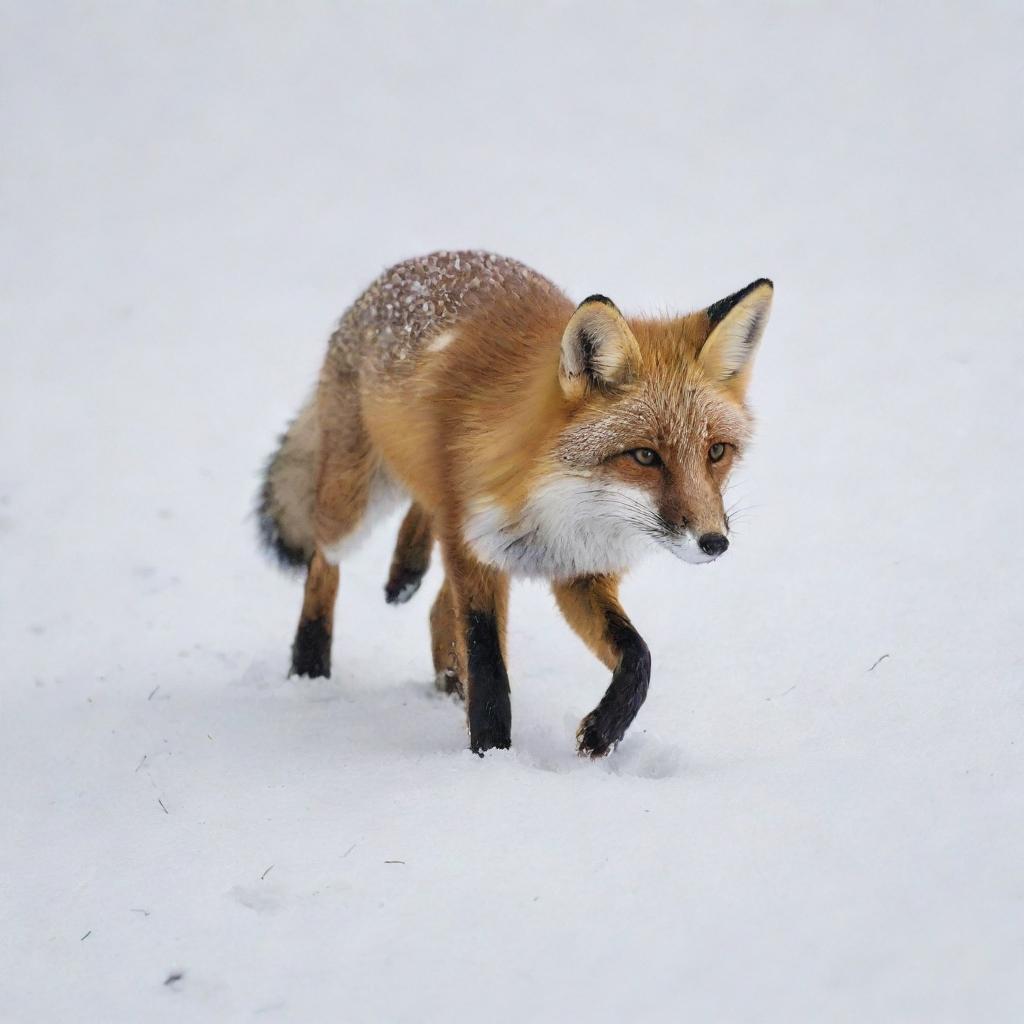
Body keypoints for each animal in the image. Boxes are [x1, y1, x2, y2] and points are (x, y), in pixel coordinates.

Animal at [260, 250, 770, 757]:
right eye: (645, 456)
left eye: (716, 452)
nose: (714, 542)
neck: (560, 509)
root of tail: (411, 265)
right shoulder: (475, 552)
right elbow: (488, 666)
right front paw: (491, 754)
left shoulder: (579, 572)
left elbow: (638, 655)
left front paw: (603, 732)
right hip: (353, 503)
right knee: (324, 565)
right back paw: (309, 666)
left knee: (433, 585)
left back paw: (415, 595)